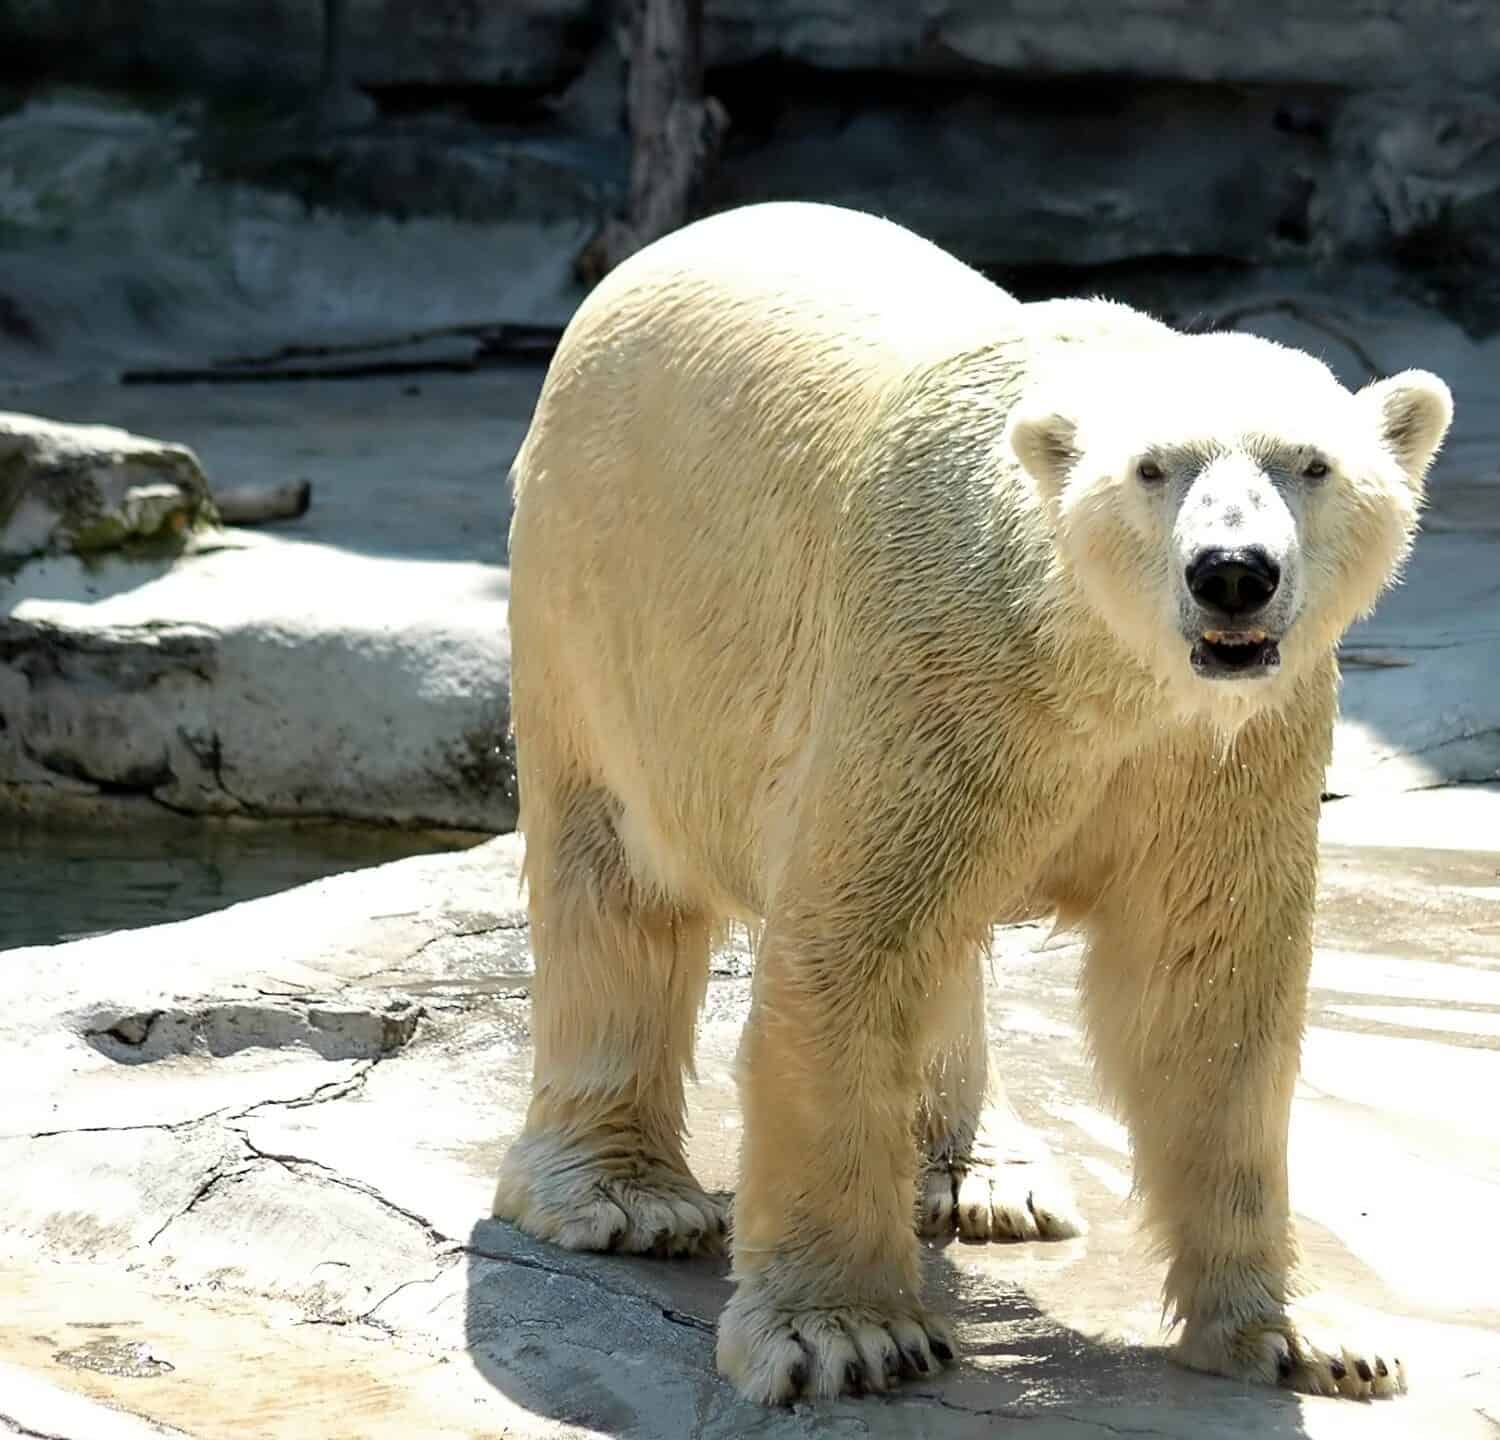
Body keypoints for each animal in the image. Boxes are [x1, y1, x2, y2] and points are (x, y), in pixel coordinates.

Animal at [495, 202, 1452, 1404]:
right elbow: (850, 948)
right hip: (599, 590)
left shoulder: (1220, 746)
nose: (1233, 571)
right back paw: (626, 1196)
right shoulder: (930, 666)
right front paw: (846, 1335)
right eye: (1154, 469)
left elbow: (1204, 992)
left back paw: (989, 1177)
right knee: (613, 881)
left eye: (1310, 464)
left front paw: (1310, 1338)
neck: (1092, 663)